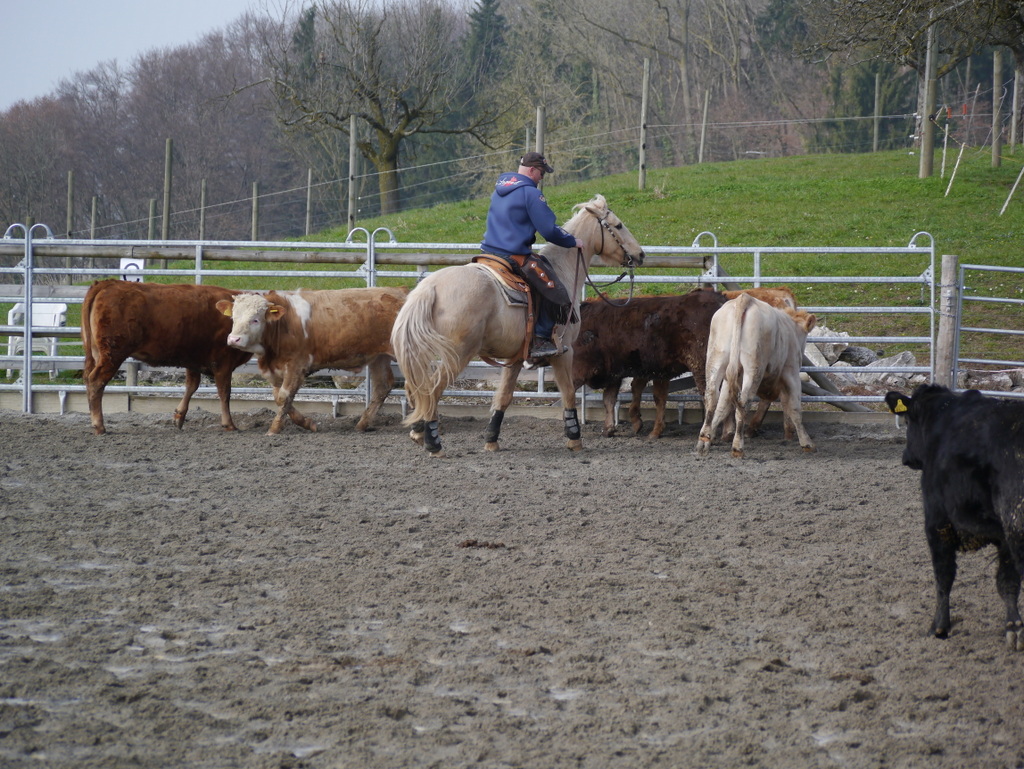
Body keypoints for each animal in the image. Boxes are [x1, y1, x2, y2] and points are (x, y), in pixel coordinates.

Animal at [81, 280, 253, 436]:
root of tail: (108, 283)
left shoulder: (194, 360)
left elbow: (192, 386)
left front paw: (179, 416)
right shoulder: (223, 362)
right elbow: (224, 392)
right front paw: (229, 424)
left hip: (96, 354)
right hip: (112, 354)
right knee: (96, 381)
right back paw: (99, 425)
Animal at [217, 287, 408, 435]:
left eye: (255, 319)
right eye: (233, 317)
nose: (234, 339)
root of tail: (401, 292)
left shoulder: (297, 366)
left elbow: (284, 397)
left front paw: (274, 429)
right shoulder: (275, 370)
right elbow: (278, 397)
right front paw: (307, 423)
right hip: (379, 357)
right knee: (382, 386)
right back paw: (362, 424)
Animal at [390, 194, 645, 457]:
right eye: (618, 225)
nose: (640, 255)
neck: (563, 268)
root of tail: (429, 287)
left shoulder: (514, 358)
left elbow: (504, 396)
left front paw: (491, 440)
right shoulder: (564, 352)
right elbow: (568, 393)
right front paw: (574, 438)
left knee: (417, 388)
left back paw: (419, 432)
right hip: (456, 356)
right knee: (431, 389)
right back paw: (433, 442)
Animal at [695, 293, 817, 457]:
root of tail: (744, 299)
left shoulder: (729, 379)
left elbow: (722, 406)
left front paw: (709, 438)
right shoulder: (791, 373)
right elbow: (795, 409)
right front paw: (806, 443)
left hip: (716, 360)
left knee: (712, 397)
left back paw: (704, 438)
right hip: (753, 367)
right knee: (743, 403)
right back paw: (738, 446)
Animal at [885, 385, 1024, 650]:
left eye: (907, 420)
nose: (905, 457)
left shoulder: (937, 520)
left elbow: (943, 575)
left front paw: (939, 627)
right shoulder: (1003, 537)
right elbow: (1007, 582)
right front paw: (1013, 627)